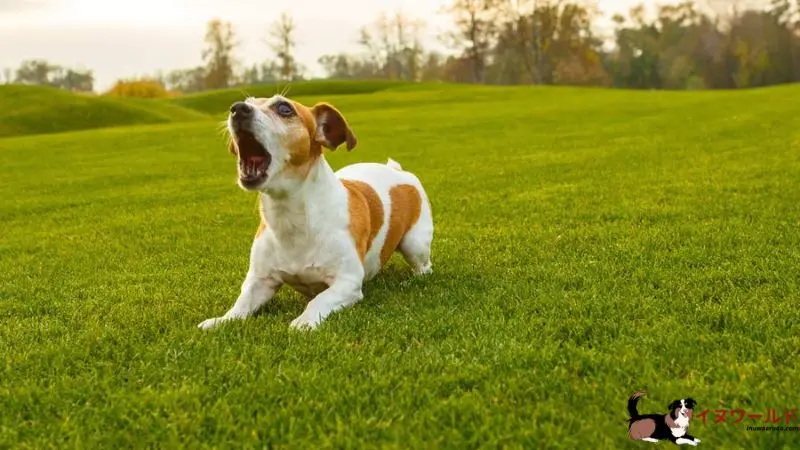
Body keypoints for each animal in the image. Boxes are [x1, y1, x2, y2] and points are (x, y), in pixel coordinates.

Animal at [198, 95, 434, 330]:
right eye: (247, 101)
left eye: (284, 108)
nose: (238, 109)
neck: (290, 217)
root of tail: (398, 171)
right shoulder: (260, 280)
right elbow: (242, 303)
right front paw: (222, 320)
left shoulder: (346, 282)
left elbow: (319, 300)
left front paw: (304, 321)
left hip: (415, 244)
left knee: (424, 266)